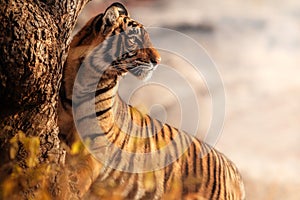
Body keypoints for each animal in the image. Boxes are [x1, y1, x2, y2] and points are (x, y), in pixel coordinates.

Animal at [57, 1, 245, 200]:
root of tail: (233, 169)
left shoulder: (95, 149)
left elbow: (77, 182)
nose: (158, 60)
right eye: (134, 40)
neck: (83, 81)